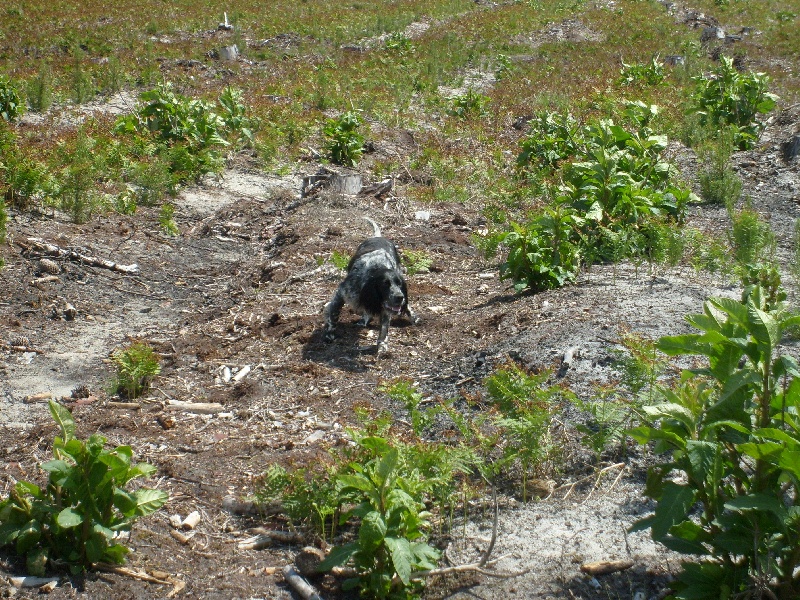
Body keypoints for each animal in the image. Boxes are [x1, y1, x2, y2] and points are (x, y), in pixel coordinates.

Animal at [324, 219, 418, 352]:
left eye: (399, 284)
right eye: (385, 285)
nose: (400, 297)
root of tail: (378, 237)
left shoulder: (385, 308)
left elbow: (384, 328)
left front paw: (382, 345)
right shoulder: (341, 294)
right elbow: (333, 315)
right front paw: (329, 334)